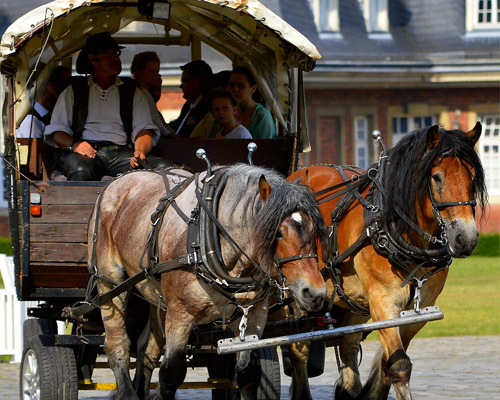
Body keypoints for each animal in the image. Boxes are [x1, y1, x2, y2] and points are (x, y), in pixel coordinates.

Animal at [86, 163, 328, 400]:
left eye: (313, 230)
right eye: (278, 232)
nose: (315, 292)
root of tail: (119, 180)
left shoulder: (255, 316)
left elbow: (248, 375)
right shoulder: (180, 314)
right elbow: (171, 374)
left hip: (155, 297)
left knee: (147, 349)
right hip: (110, 283)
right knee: (117, 344)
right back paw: (127, 390)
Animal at [288, 123, 486, 398]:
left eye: (472, 177)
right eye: (436, 177)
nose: (465, 238)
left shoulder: (419, 311)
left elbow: (387, 365)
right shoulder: (383, 302)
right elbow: (399, 366)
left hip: (353, 302)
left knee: (347, 345)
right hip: (300, 294)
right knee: (300, 350)